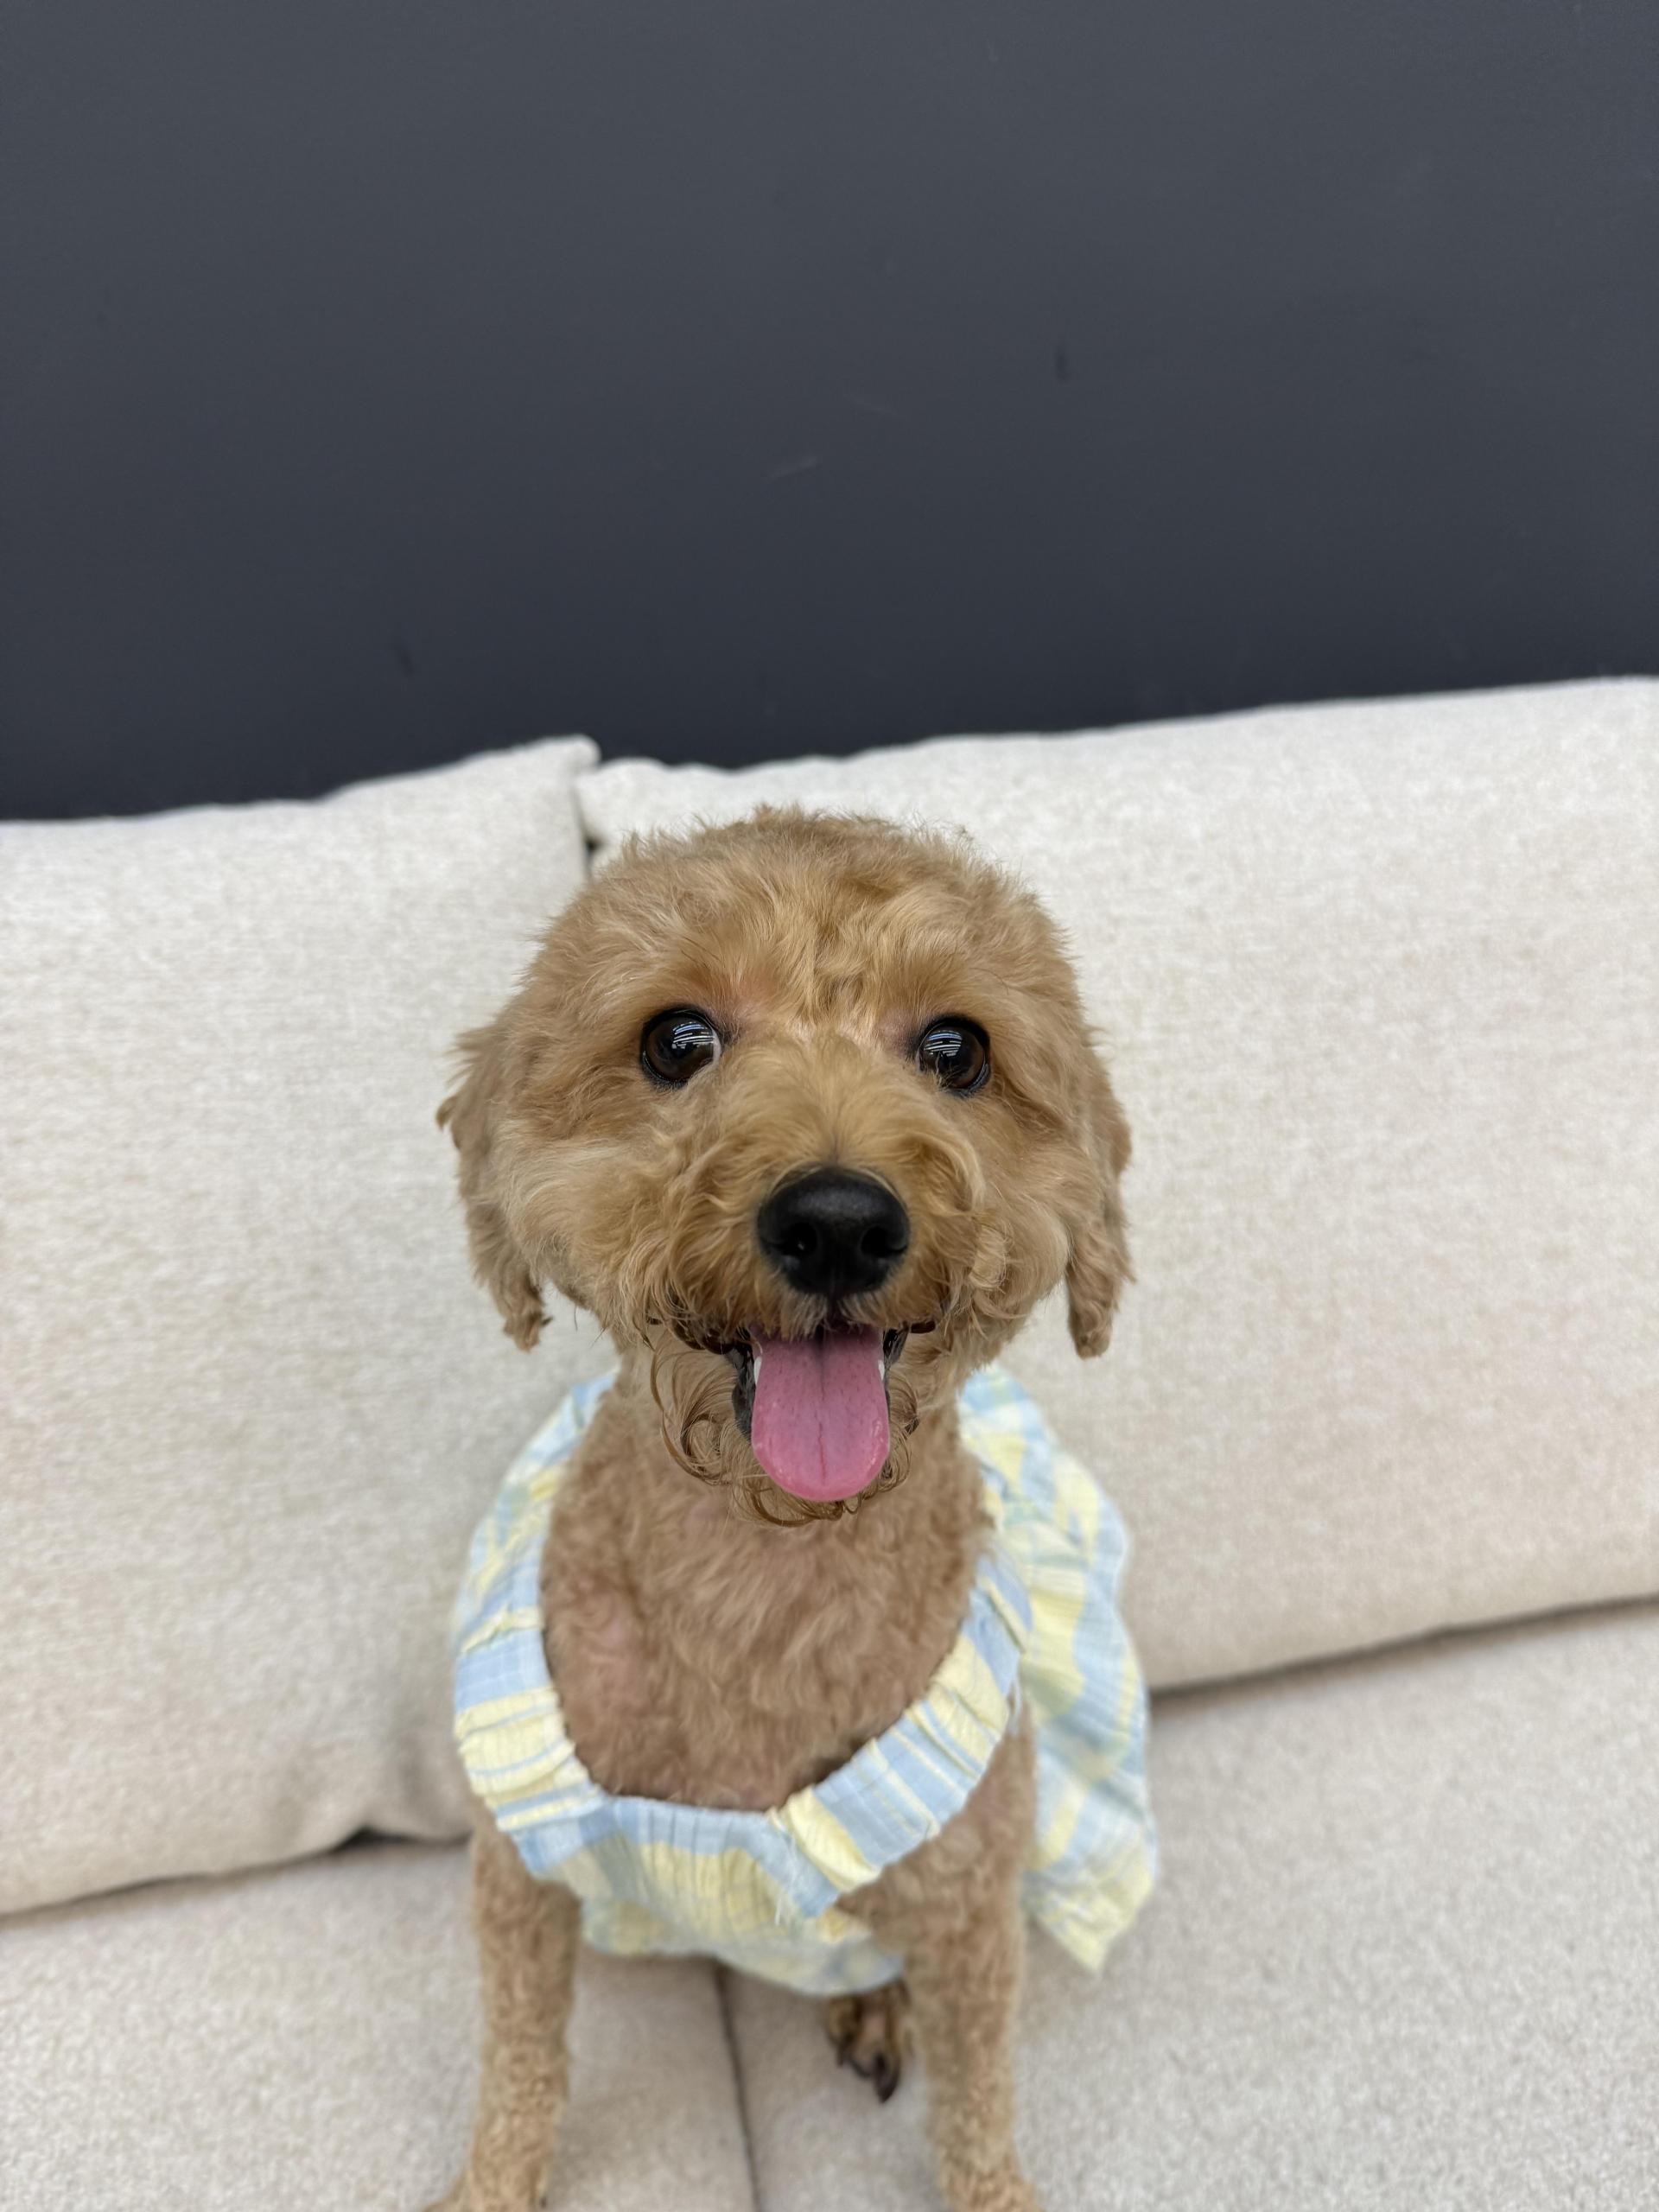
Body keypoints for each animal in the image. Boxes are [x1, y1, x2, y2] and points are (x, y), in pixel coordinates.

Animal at [430, 808, 1137, 2212]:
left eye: (957, 1050)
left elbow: (979, 2110)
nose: (839, 1221)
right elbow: (520, 2068)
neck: (767, 1569)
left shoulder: (973, 1904)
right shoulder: (517, 1870)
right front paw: (486, 2187)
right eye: (677, 1041)